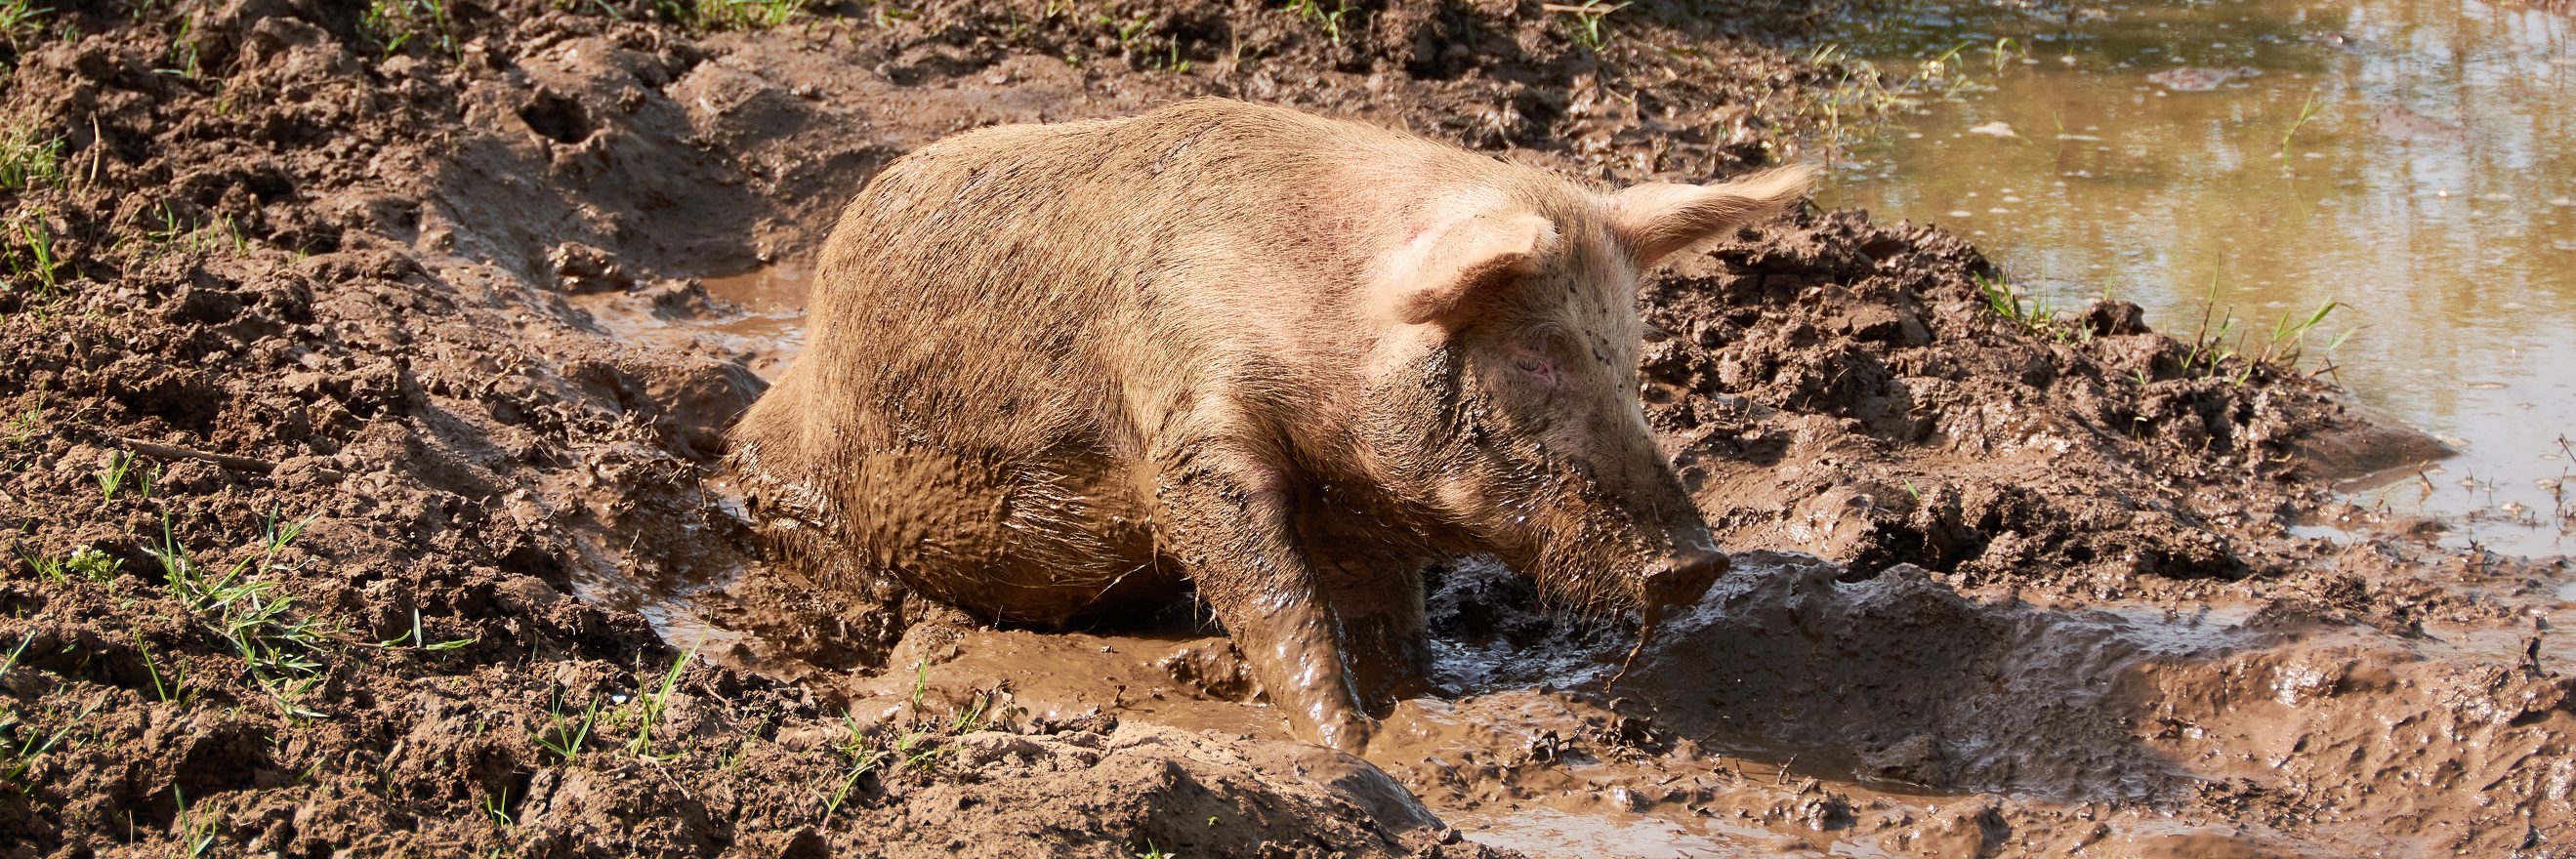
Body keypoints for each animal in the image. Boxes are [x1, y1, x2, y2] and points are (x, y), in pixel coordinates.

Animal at [727, 98, 1816, 751]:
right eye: (1538, 355)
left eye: (1627, 359)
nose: (1699, 562)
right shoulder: (1190, 432)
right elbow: (1268, 588)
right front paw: (1348, 747)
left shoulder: (1363, 502)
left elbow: (1388, 618)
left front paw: (1411, 709)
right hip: (787, 479)